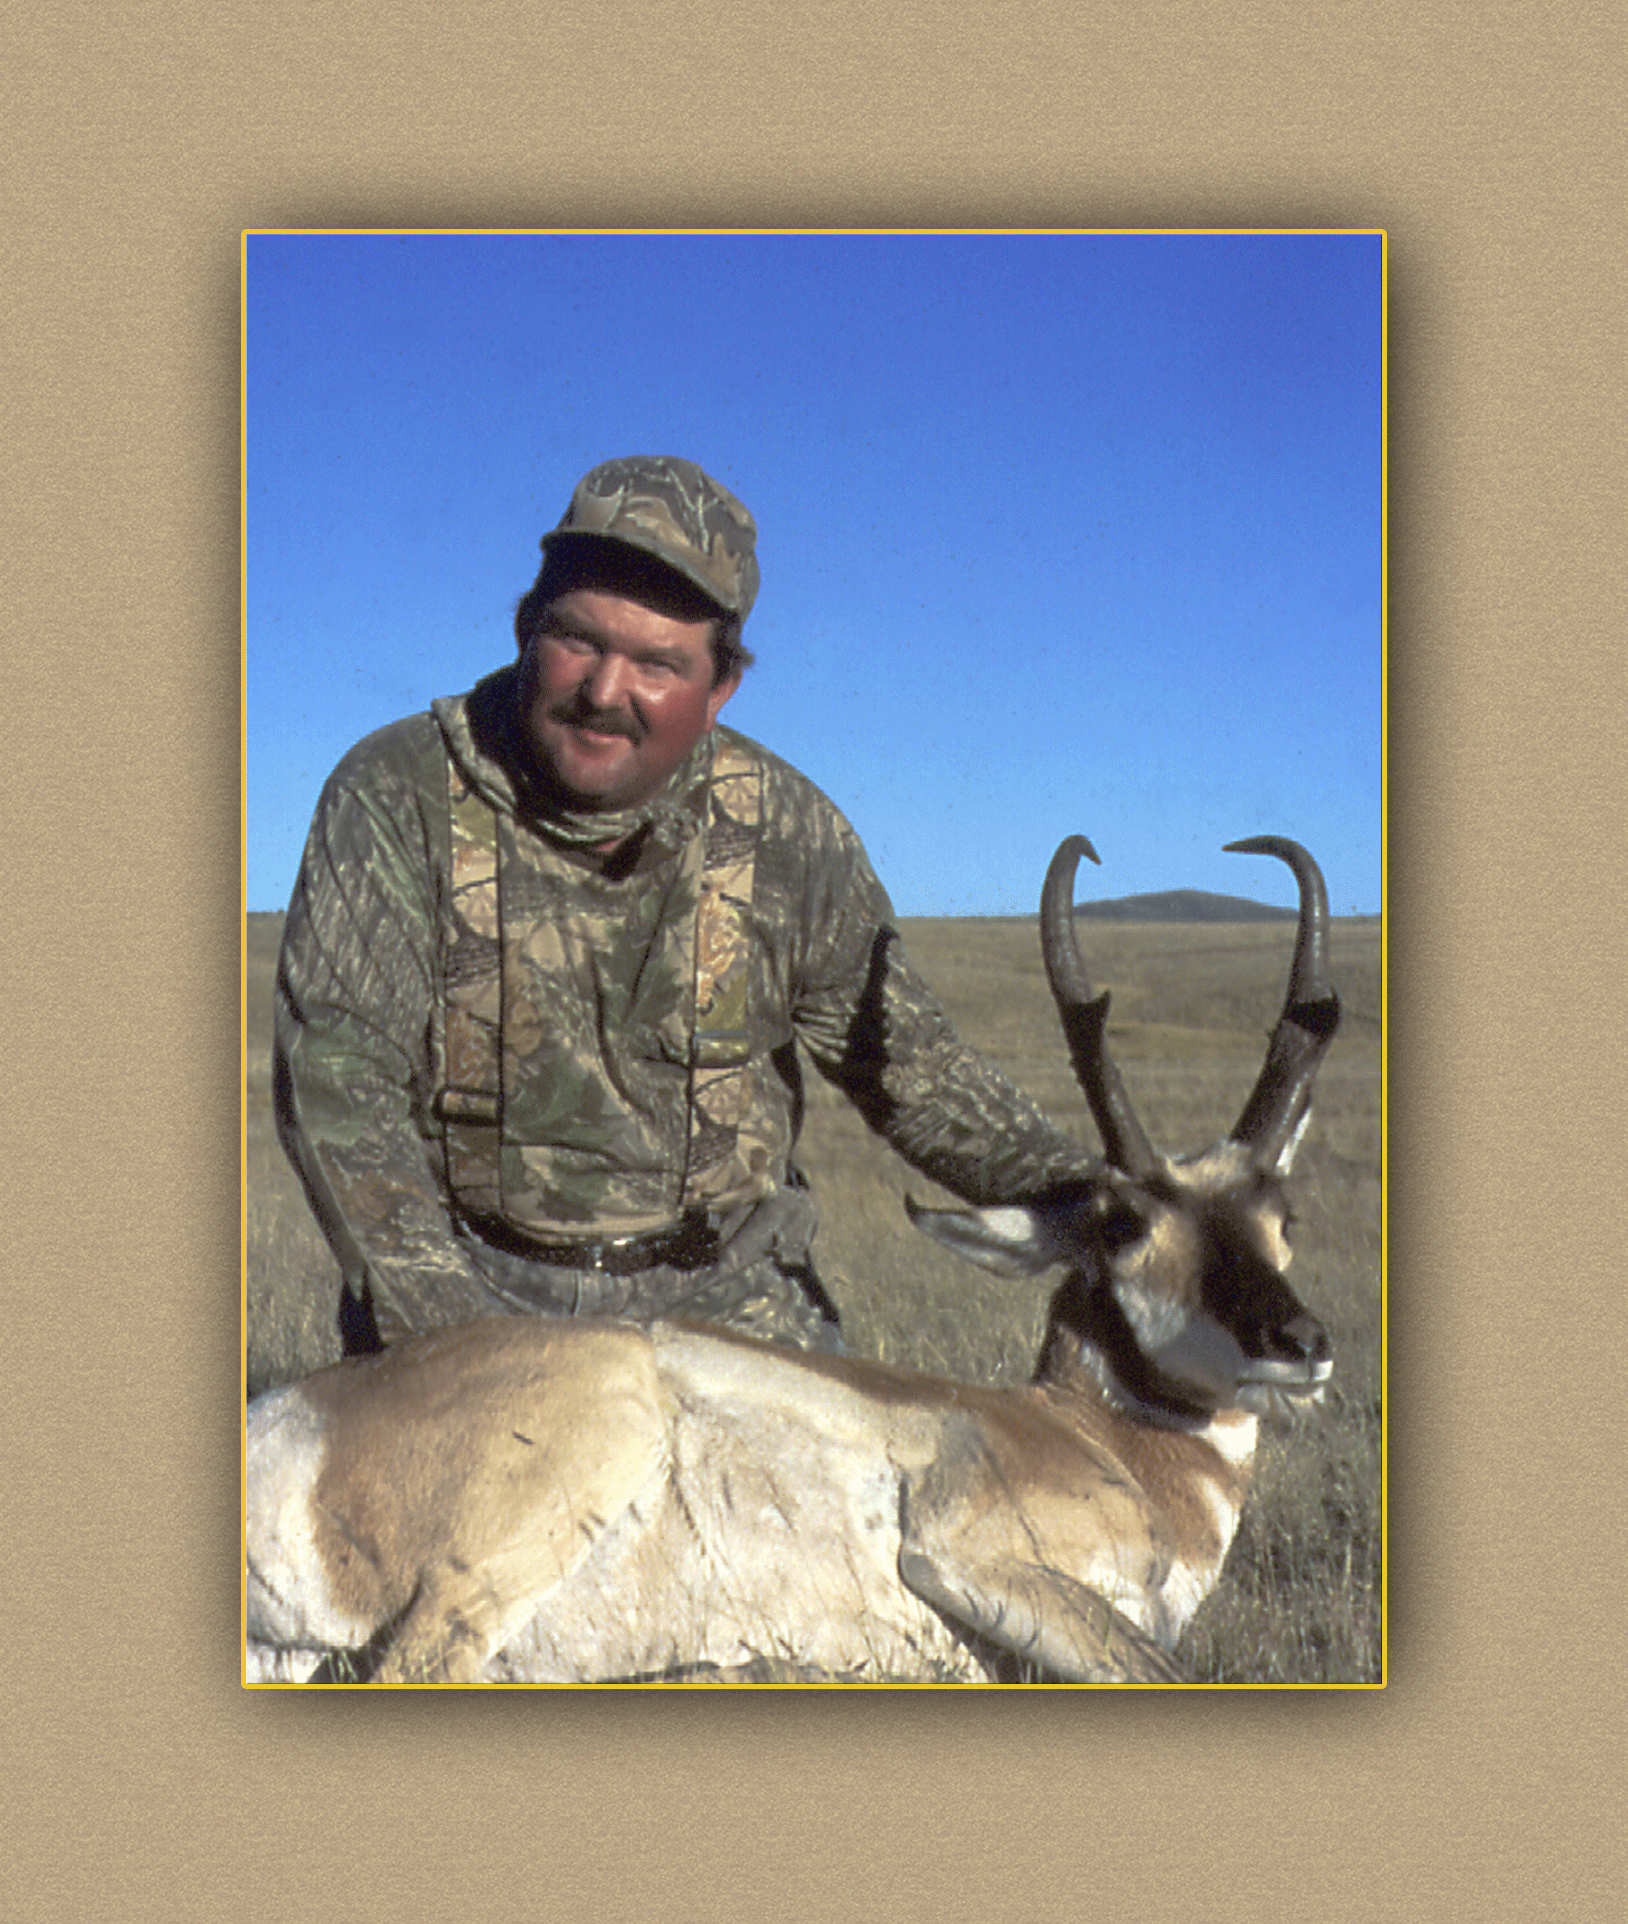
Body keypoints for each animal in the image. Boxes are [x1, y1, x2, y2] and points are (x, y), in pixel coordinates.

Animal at [245, 833, 1340, 1686]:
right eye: (1122, 1225)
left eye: (1282, 1215)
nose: (1302, 1342)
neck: (1086, 1435)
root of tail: (293, 1416)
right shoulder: (968, 1557)